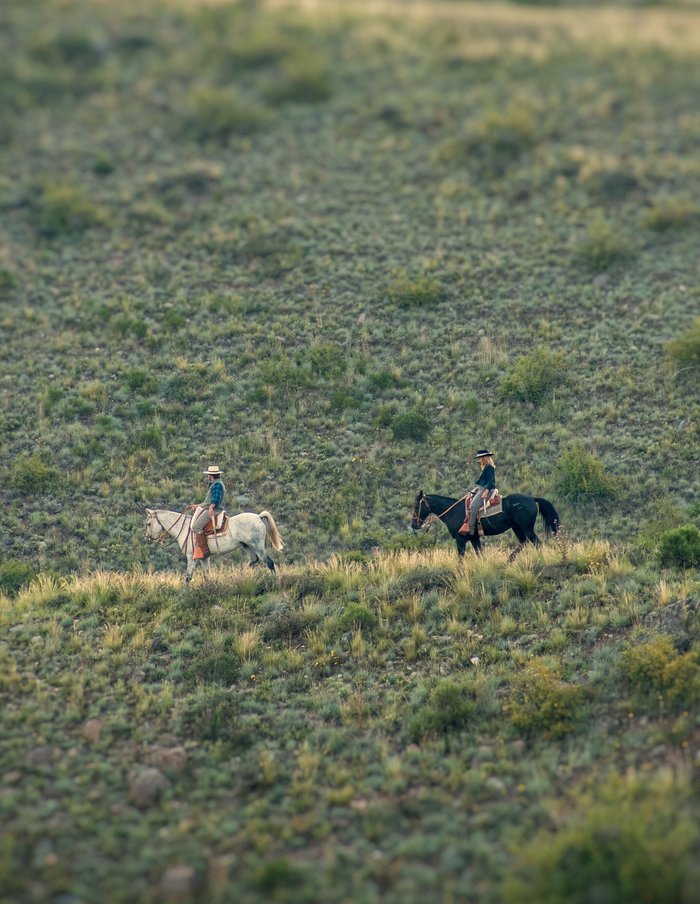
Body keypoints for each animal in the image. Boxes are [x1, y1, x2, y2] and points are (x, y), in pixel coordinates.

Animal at [145, 504, 284, 584]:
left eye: (149, 523)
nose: (147, 538)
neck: (184, 528)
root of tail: (259, 517)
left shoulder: (191, 557)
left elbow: (188, 576)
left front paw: (185, 594)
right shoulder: (204, 557)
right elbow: (206, 575)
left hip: (257, 546)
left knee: (269, 562)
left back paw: (275, 581)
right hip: (247, 546)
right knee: (254, 560)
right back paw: (240, 574)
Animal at [412, 490, 560, 560]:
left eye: (416, 506)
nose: (414, 525)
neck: (453, 511)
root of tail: (532, 499)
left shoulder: (461, 539)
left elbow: (460, 557)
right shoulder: (474, 538)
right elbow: (480, 554)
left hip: (527, 528)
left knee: (536, 543)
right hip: (517, 527)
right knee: (524, 542)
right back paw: (510, 559)